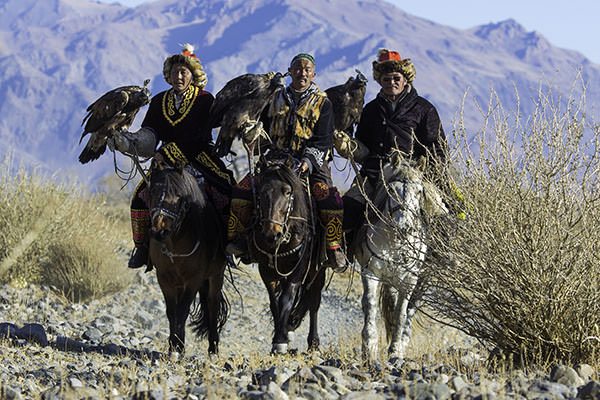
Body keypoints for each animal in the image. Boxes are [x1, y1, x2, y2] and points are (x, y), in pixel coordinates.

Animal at [146, 155, 229, 354]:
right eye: (152, 191)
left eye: (179, 196)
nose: (159, 232)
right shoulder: (164, 278)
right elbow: (172, 312)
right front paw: (174, 345)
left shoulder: (193, 279)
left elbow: (182, 311)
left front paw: (178, 348)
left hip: (216, 275)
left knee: (212, 304)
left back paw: (213, 347)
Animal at [247, 153, 326, 354]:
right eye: (261, 191)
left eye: (288, 192)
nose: (271, 234)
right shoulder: (266, 269)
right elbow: (275, 300)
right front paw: (279, 336)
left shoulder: (298, 269)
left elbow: (287, 299)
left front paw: (281, 341)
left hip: (318, 271)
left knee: (314, 301)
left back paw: (313, 344)